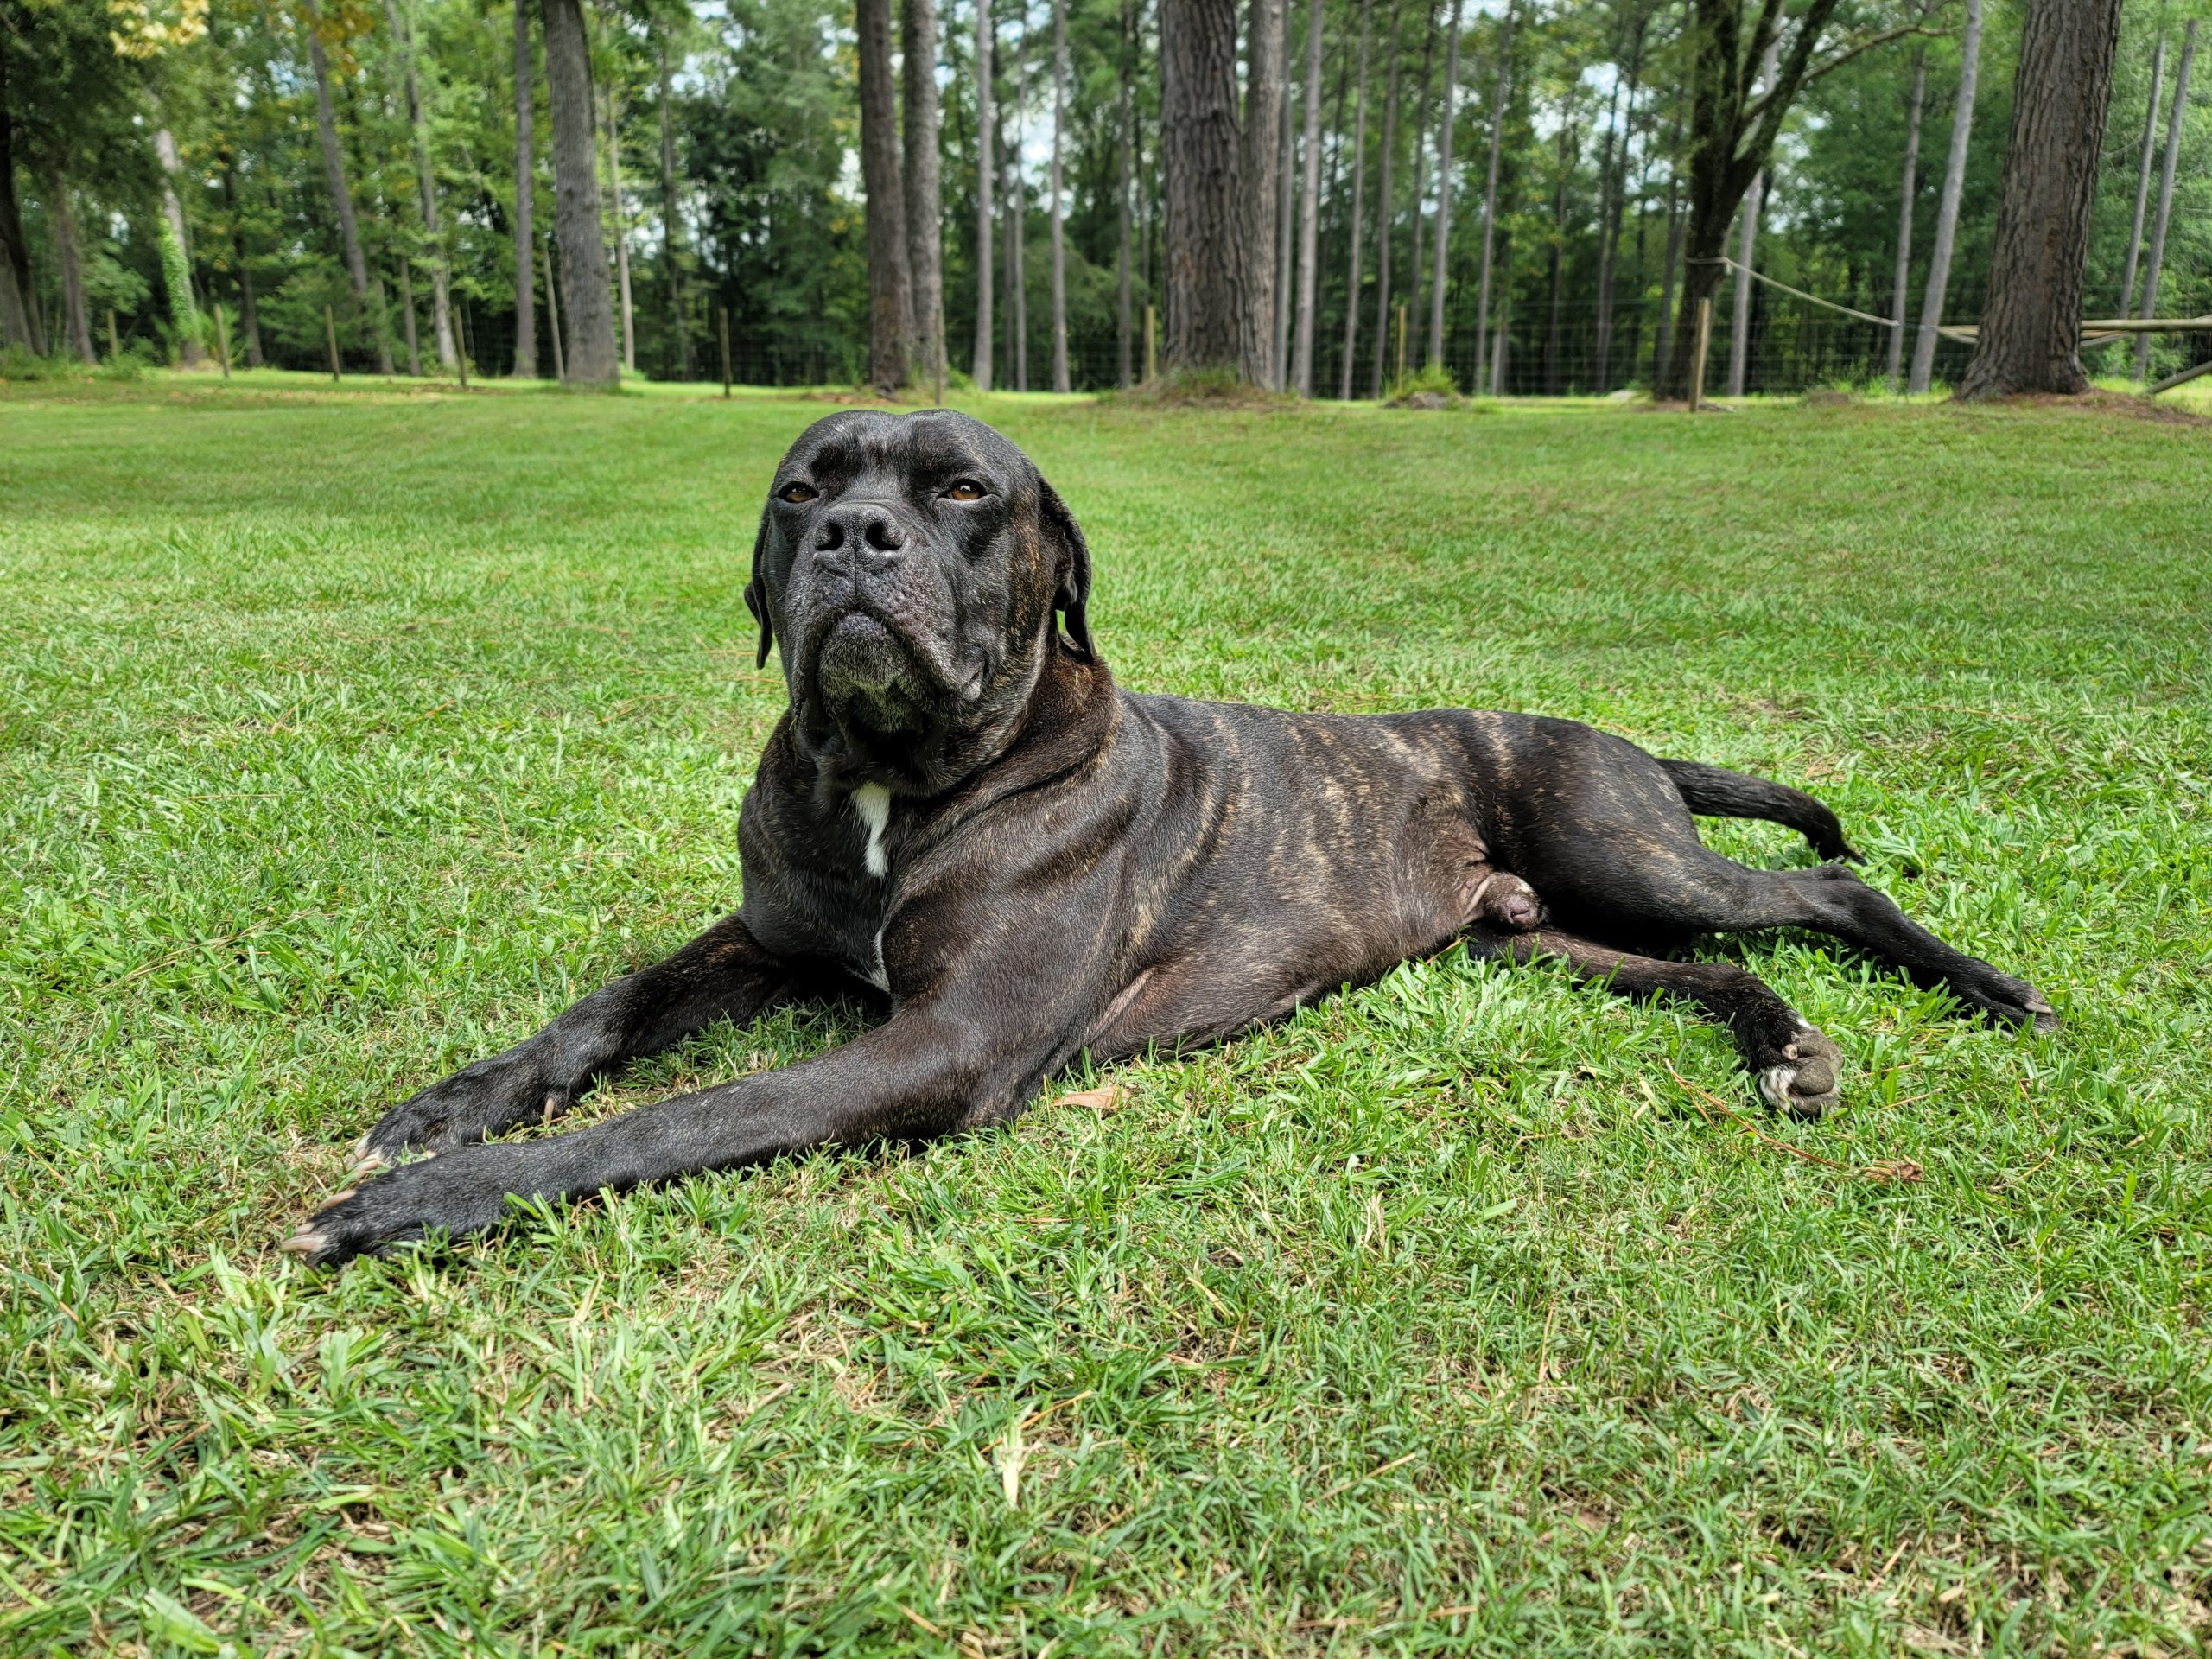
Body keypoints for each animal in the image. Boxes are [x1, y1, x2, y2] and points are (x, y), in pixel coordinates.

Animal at [285, 413, 2061, 1256]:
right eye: (803, 489)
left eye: (964, 494)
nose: (854, 535)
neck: (898, 779)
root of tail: (1617, 741)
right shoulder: (767, 935)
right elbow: (607, 1015)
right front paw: (446, 1111)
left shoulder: (938, 1044)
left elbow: (690, 1115)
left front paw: (437, 1202)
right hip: (1556, 935)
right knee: (1710, 969)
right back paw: (1785, 1049)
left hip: (1626, 850)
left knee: (1825, 885)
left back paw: (1986, 988)